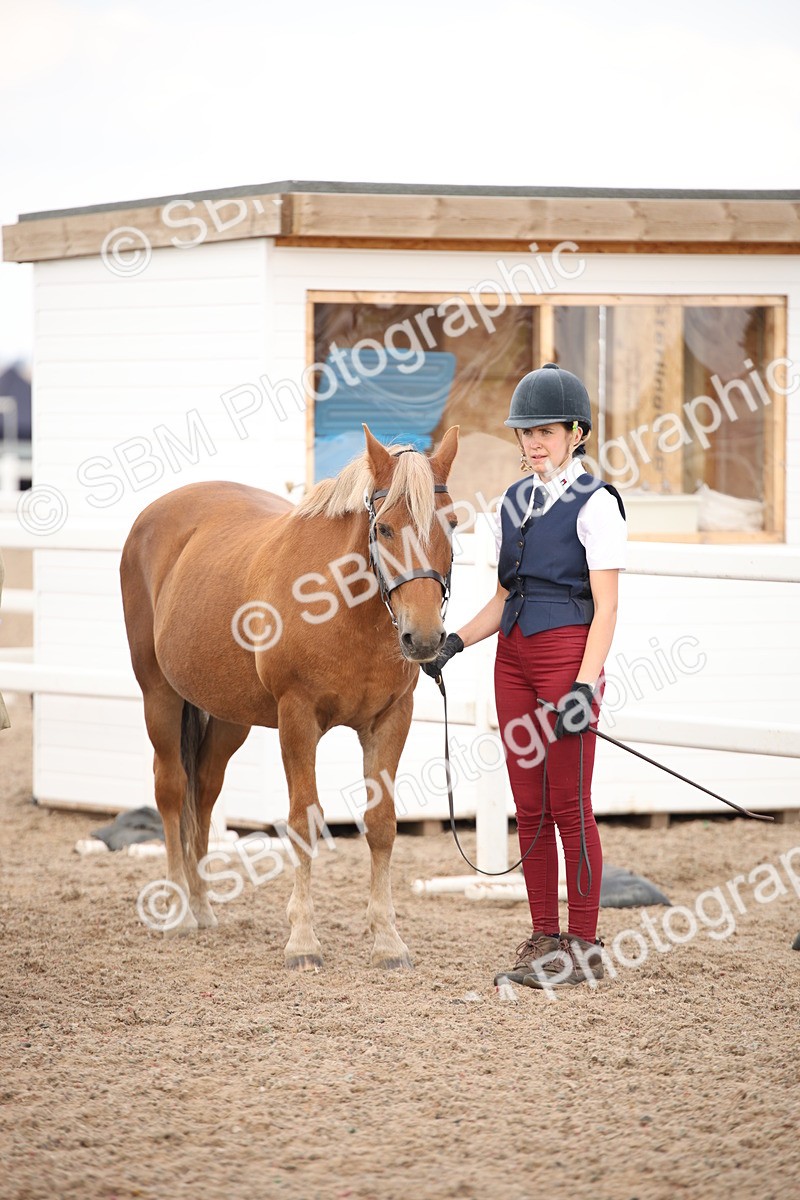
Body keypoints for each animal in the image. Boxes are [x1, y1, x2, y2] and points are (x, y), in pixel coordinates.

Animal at [120, 425, 459, 969]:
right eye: (385, 529)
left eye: (451, 524)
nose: (424, 638)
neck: (343, 607)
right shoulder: (297, 718)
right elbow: (303, 821)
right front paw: (303, 940)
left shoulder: (390, 720)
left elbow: (381, 823)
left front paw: (388, 940)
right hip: (159, 695)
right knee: (171, 789)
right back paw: (178, 912)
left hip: (229, 717)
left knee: (205, 791)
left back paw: (202, 905)